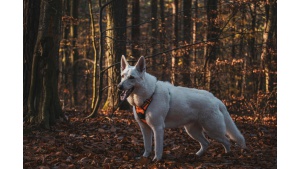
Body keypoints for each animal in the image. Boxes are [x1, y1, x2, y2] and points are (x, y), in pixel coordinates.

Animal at [117, 55, 246, 161]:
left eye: (132, 77)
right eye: (122, 76)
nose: (119, 86)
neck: (149, 94)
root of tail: (215, 99)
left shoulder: (158, 128)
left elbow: (157, 148)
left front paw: (156, 160)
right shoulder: (144, 128)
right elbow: (147, 146)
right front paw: (145, 157)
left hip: (212, 130)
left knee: (227, 141)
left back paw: (227, 155)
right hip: (192, 131)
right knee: (206, 143)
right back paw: (198, 155)